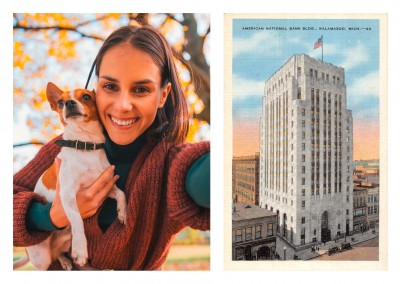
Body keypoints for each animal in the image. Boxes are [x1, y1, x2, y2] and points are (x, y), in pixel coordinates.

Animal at [18, 82, 126, 270]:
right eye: (60, 102)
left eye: (87, 97)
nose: (68, 103)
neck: (85, 144)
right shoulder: (68, 194)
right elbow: (77, 219)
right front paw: (81, 251)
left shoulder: (105, 186)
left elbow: (121, 193)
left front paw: (123, 213)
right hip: (41, 258)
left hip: (64, 241)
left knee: (60, 252)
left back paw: (66, 261)